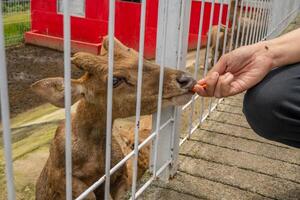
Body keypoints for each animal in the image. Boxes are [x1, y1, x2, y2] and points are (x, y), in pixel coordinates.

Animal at [32, 36, 197, 200]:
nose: (186, 79)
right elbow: (89, 194)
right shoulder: (59, 176)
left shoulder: (121, 174)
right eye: (114, 80)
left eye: (140, 56)